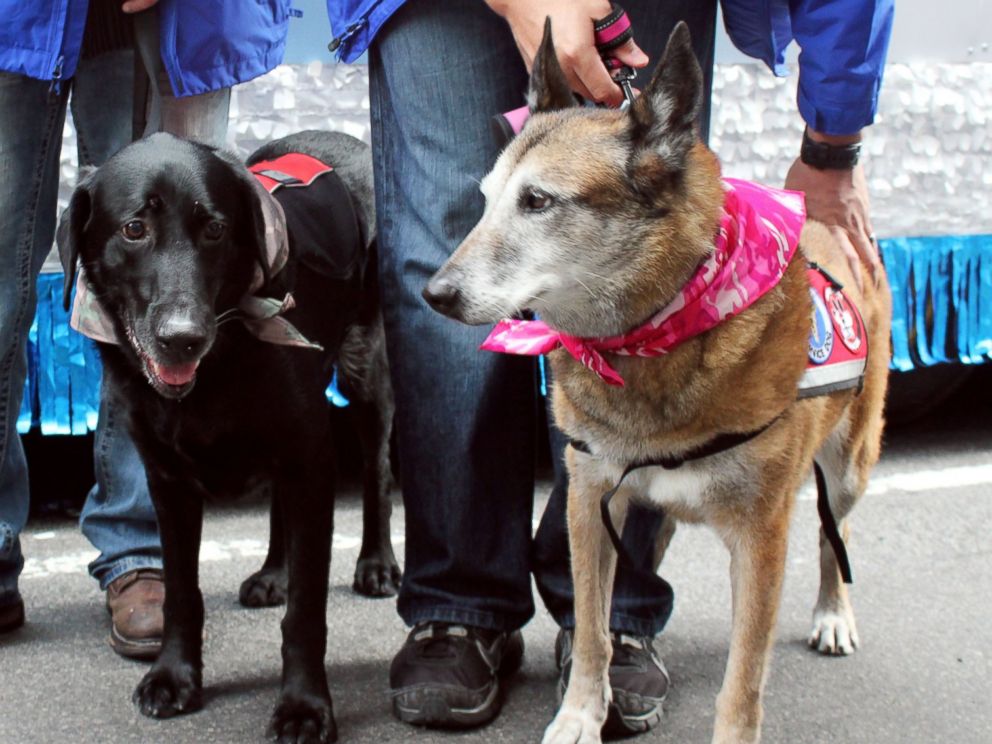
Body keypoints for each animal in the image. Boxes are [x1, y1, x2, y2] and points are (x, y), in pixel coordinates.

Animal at [56, 131, 400, 740]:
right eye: (134, 228)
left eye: (215, 229)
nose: (183, 338)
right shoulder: (167, 480)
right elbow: (180, 593)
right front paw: (174, 676)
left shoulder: (309, 459)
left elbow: (306, 611)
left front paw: (304, 706)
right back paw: (273, 572)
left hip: (364, 371)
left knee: (377, 470)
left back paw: (376, 562)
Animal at [422, 21, 888, 744]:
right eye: (487, 200)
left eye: (538, 201)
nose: (436, 295)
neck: (655, 340)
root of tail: (825, 221)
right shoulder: (590, 504)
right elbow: (592, 633)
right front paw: (581, 715)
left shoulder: (761, 540)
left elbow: (742, 684)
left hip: (849, 471)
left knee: (830, 538)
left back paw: (833, 612)